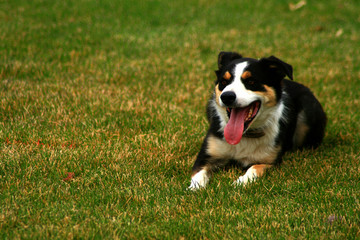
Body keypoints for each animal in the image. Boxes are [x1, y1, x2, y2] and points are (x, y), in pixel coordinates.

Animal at [190, 52, 328, 189]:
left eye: (251, 81)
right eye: (224, 81)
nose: (227, 96)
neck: (246, 135)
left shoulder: (270, 161)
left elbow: (254, 168)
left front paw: (241, 182)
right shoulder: (206, 155)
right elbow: (198, 173)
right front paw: (195, 188)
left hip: (308, 112)